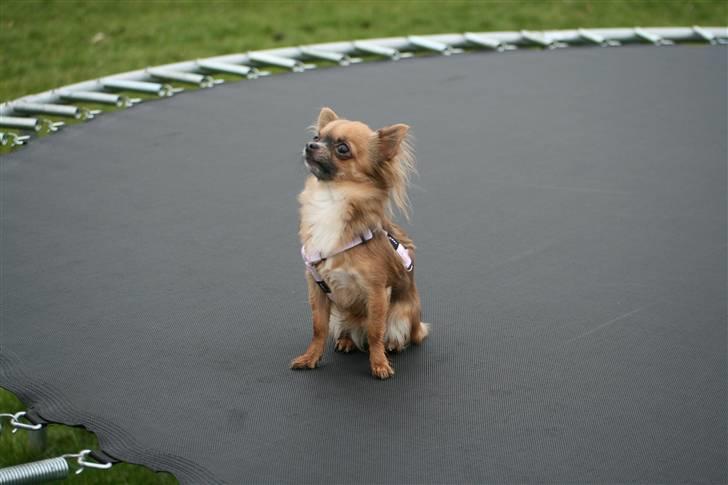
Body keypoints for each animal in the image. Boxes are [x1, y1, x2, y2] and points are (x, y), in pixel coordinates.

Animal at [290, 108, 426, 380]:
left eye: (343, 149)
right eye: (317, 137)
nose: (310, 145)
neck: (331, 198)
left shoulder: (377, 292)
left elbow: (375, 331)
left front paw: (379, 364)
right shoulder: (316, 287)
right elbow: (318, 328)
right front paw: (310, 358)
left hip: (403, 313)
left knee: (395, 333)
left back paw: (392, 345)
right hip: (341, 314)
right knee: (348, 328)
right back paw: (346, 340)